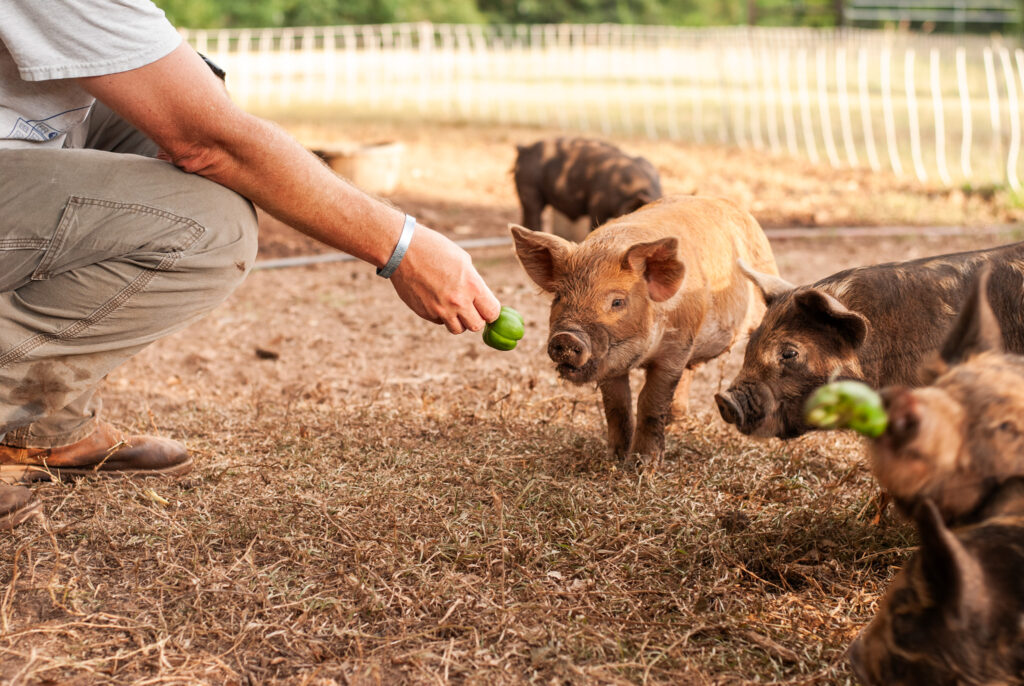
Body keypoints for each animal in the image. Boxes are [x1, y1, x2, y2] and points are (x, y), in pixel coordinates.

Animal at [512, 196, 774, 470]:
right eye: (559, 297)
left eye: (617, 302)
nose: (567, 336)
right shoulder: (611, 363)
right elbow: (616, 405)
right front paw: (614, 458)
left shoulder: (677, 347)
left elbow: (650, 401)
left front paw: (644, 465)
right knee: (688, 374)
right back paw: (675, 422)